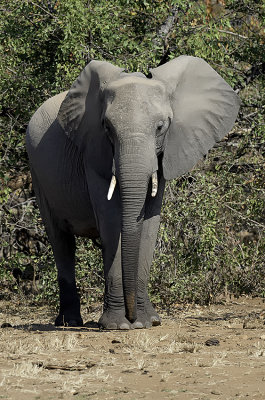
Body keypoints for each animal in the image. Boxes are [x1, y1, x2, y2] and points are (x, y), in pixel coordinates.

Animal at [26, 54, 239, 330]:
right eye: (107, 127)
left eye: (161, 127)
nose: (132, 316)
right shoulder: (94, 152)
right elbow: (112, 222)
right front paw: (120, 325)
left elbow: (148, 225)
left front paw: (147, 322)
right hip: (37, 173)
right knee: (61, 242)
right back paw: (69, 322)